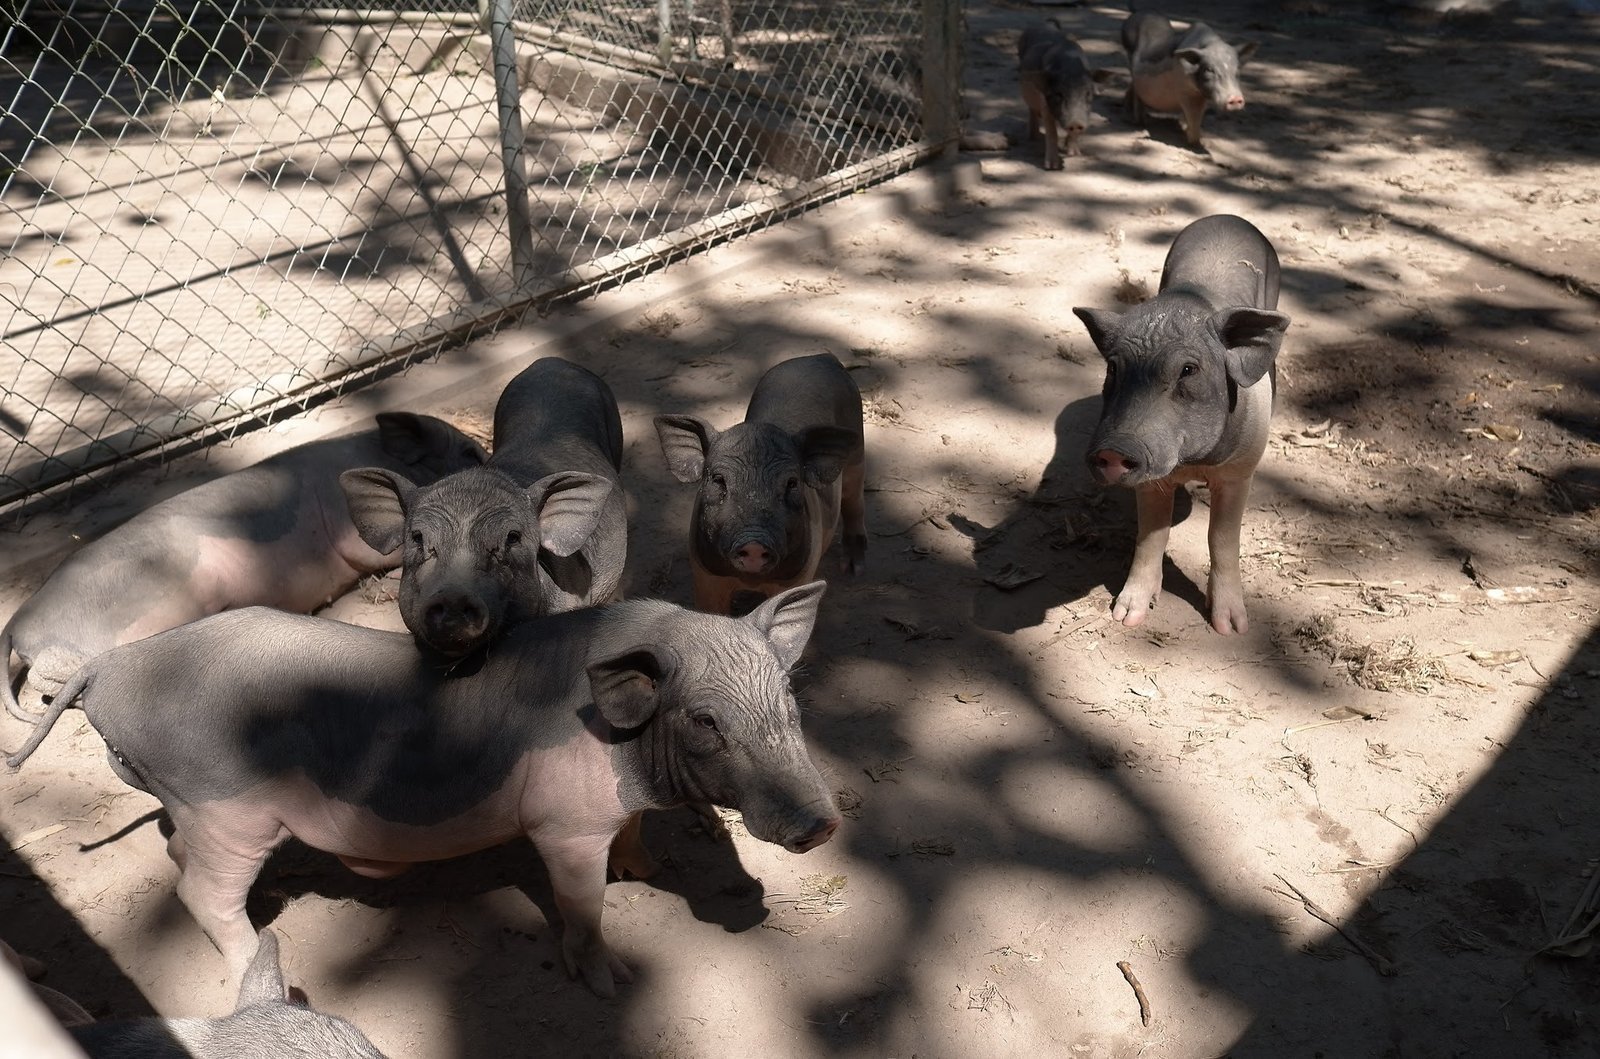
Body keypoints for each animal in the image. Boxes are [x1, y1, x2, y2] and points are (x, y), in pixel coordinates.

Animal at [6, 583, 840, 1000]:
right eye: (704, 719)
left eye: (787, 698)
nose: (822, 823)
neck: (627, 747)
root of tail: (109, 666)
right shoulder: (562, 827)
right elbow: (581, 904)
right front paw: (616, 984)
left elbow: (634, 839)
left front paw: (649, 869)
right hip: (225, 806)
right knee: (198, 892)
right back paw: (268, 968)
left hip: (196, 805)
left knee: (177, 852)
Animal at [655, 353, 865, 616]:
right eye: (718, 480)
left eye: (792, 483)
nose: (754, 542)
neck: (750, 580)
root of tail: (822, 357)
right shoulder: (705, 573)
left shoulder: (799, 575)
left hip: (857, 449)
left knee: (854, 501)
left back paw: (853, 569)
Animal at [1018, 20, 1116, 170]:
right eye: (1059, 94)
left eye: (1088, 93)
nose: (1075, 122)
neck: (1070, 67)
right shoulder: (1045, 101)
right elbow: (1052, 131)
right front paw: (1052, 167)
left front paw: (1075, 154)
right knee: (1032, 110)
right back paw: (1034, 137)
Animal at [1072, 214, 1290, 634]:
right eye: (1113, 368)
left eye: (1188, 370)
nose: (1114, 448)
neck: (1193, 463)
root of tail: (1227, 216)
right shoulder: (1150, 479)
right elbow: (1150, 536)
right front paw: (1127, 617)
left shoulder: (1239, 472)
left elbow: (1222, 538)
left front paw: (1231, 628)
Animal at [1122, 12, 1258, 150]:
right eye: (1209, 69)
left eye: (1237, 68)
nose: (1235, 98)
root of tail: (1135, 14)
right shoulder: (1185, 90)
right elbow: (1193, 115)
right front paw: (1196, 145)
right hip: (1129, 56)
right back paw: (1138, 122)